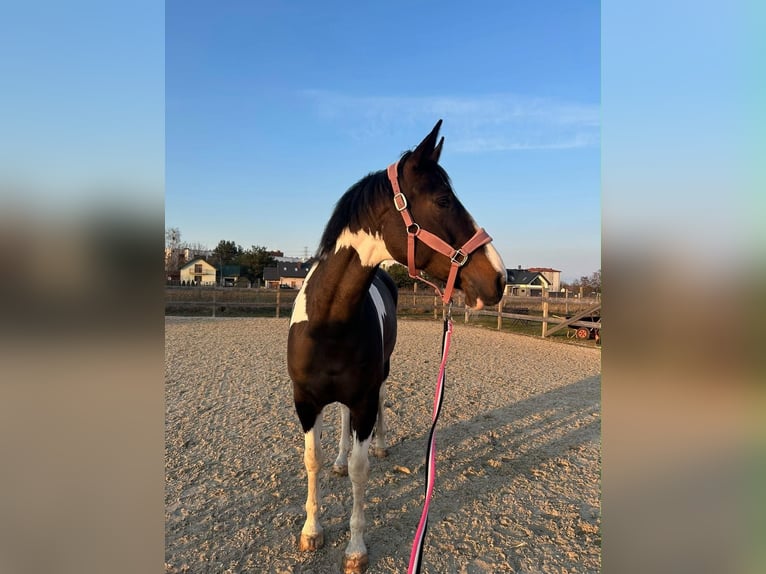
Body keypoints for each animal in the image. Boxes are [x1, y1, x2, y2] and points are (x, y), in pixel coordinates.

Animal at [287, 120, 506, 573]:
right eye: (443, 199)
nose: (500, 277)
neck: (327, 322)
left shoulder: (365, 398)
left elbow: (361, 469)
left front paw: (355, 549)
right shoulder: (305, 401)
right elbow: (313, 460)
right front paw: (312, 531)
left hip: (377, 382)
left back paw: (382, 445)